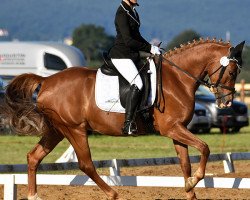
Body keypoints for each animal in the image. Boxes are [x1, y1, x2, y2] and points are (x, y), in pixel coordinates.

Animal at [0, 38, 245, 199]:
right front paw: (194, 181)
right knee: (86, 164)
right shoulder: (172, 128)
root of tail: (46, 81)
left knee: (34, 157)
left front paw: (189, 190)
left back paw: (34, 196)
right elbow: (204, 148)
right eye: (233, 72)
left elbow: (185, 163)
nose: (226, 103)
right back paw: (113, 193)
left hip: (56, 130)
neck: (178, 78)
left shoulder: (178, 129)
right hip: (74, 129)